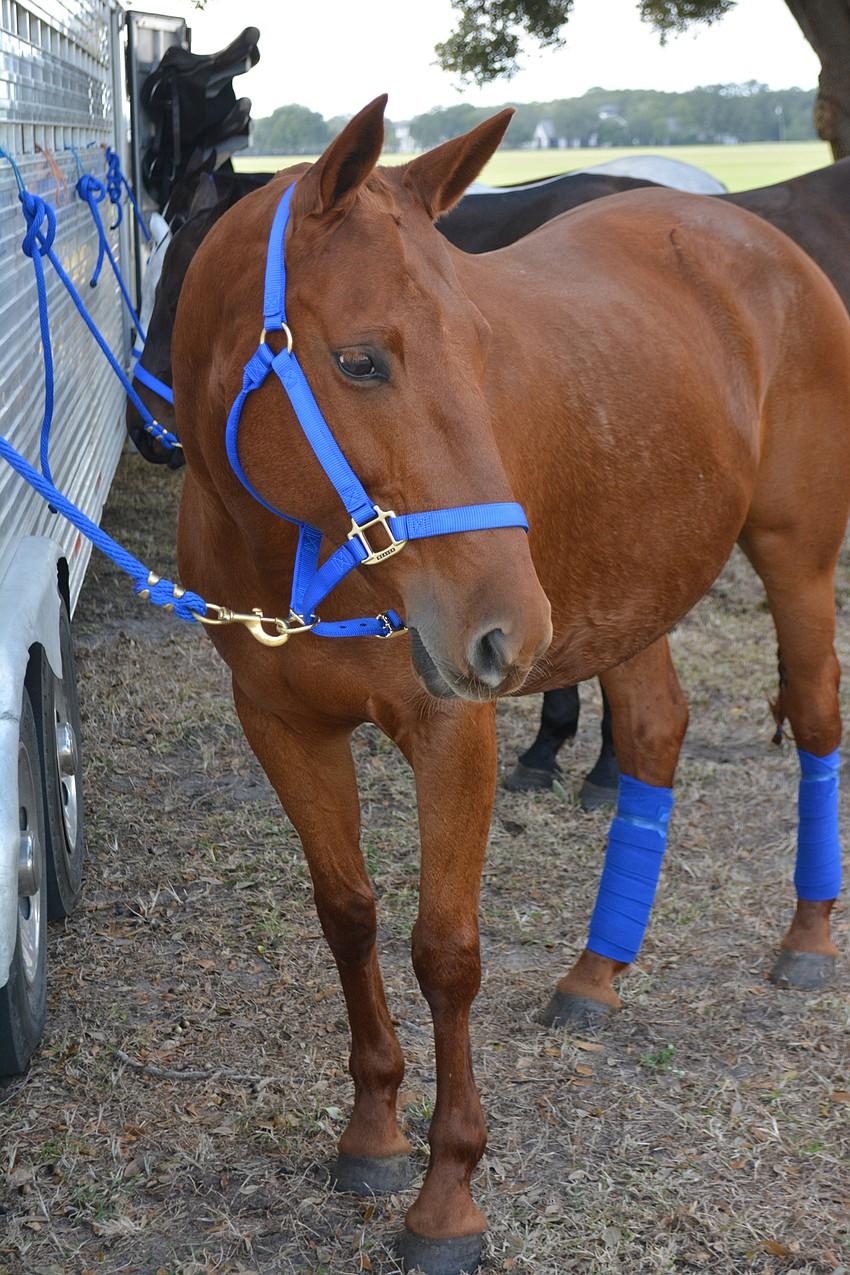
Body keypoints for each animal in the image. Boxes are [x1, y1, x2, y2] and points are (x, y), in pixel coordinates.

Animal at [168, 97, 850, 1273]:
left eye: (482, 347)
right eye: (359, 361)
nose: (509, 631)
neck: (295, 552)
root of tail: (757, 239)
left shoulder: (453, 730)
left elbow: (444, 952)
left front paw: (447, 1194)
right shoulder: (282, 725)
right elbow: (347, 915)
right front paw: (373, 1127)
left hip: (794, 556)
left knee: (814, 716)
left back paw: (806, 937)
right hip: (635, 584)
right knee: (655, 733)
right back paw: (596, 970)